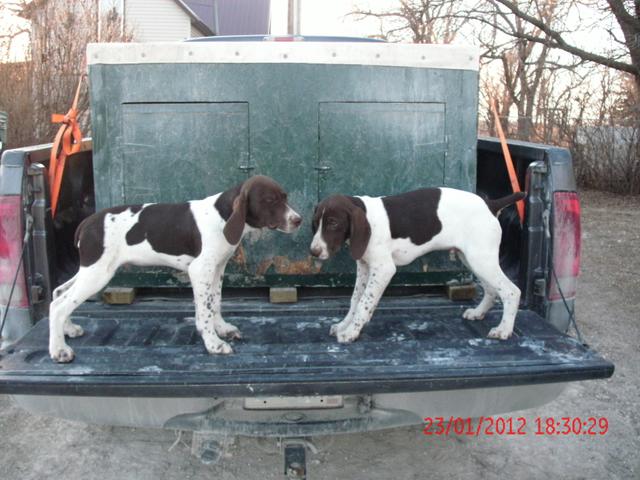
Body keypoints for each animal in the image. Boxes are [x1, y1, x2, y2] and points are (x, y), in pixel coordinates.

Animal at [47, 174, 302, 362]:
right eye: (270, 200)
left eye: (285, 197)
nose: (298, 220)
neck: (223, 217)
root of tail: (85, 223)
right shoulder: (200, 270)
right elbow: (205, 310)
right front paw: (213, 343)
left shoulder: (217, 268)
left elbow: (215, 302)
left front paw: (221, 328)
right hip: (98, 273)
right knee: (58, 306)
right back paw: (59, 350)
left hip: (90, 269)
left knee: (59, 293)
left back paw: (68, 330)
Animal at [310, 188, 524, 344]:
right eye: (315, 223)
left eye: (333, 223)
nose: (313, 252)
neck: (368, 217)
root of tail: (490, 204)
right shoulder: (364, 266)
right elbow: (355, 299)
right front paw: (344, 325)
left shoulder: (383, 269)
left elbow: (365, 302)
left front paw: (352, 331)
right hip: (473, 259)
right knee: (491, 289)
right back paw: (478, 313)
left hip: (481, 259)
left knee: (511, 291)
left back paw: (504, 330)